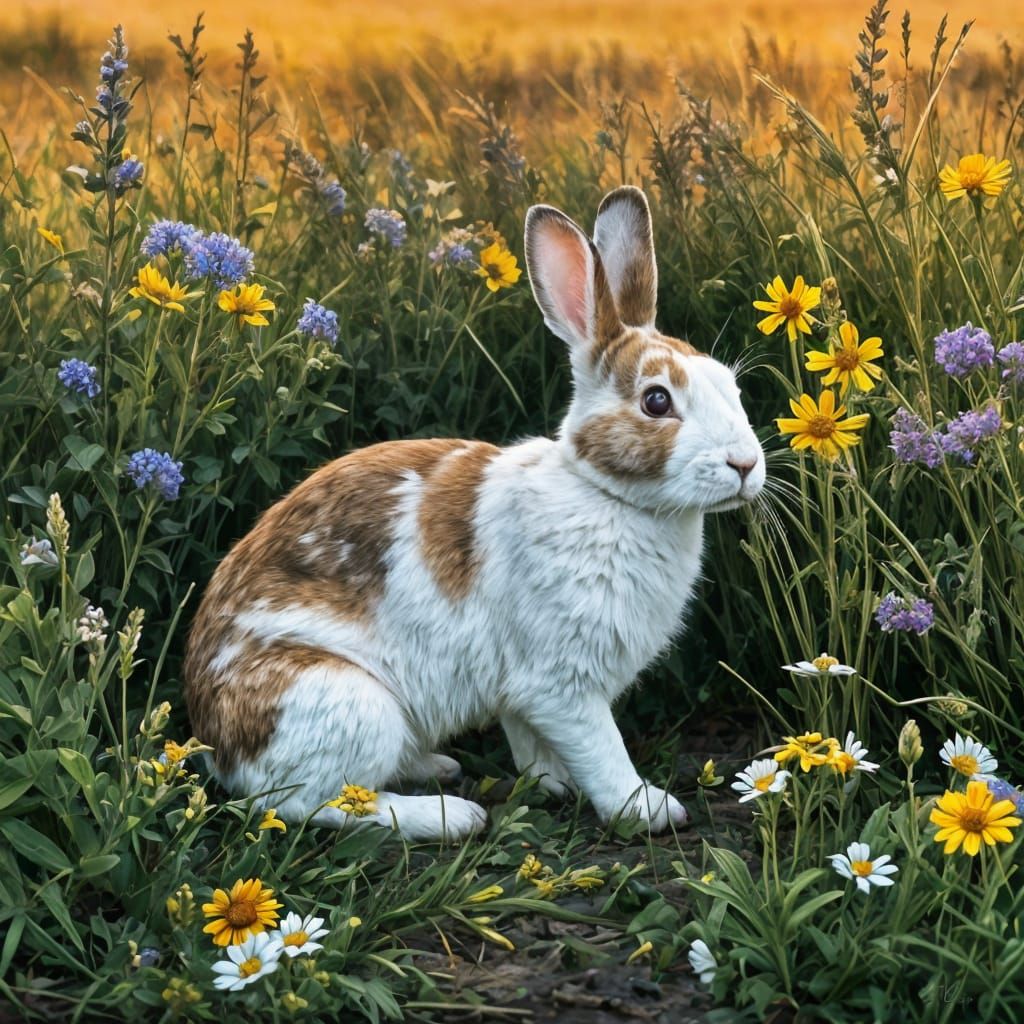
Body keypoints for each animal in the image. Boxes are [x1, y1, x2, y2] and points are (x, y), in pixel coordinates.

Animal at [183, 186, 765, 841]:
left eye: (731, 386)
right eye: (656, 401)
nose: (745, 464)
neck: (605, 494)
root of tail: (218, 747)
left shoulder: (524, 695)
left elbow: (533, 743)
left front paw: (551, 784)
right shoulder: (562, 684)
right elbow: (601, 749)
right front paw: (647, 809)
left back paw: (435, 767)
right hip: (345, 702)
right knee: (307, 802)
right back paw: (449, 815)